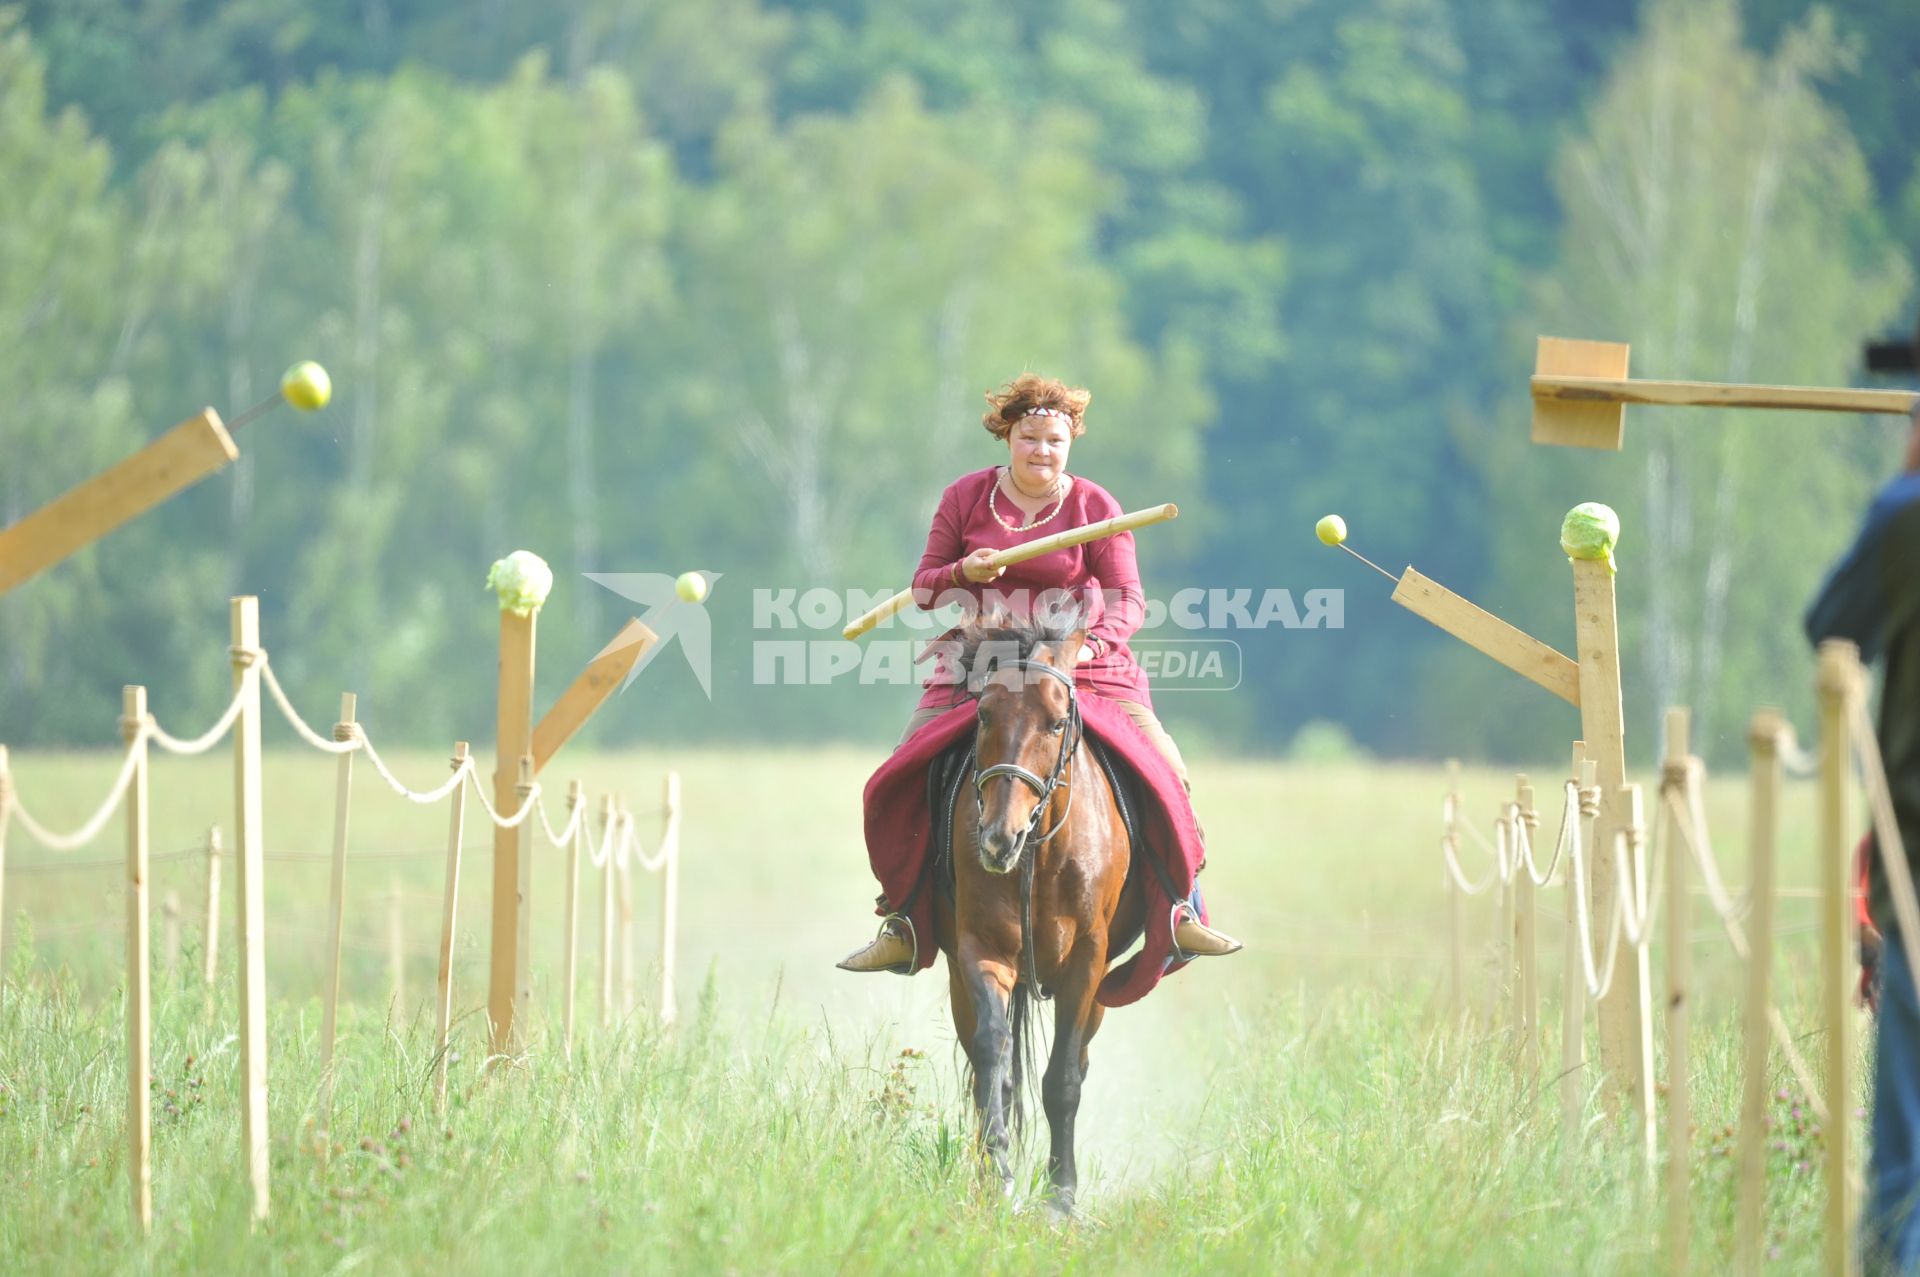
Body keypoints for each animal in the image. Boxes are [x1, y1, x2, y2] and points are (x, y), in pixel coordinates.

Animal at [936, 602, 1144, 1213]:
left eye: (1055, 723)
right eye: (983, 715)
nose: (996, 840)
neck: (1039, 852)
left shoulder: (1087, 963)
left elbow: (1063, 1079)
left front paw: (1062, 1196)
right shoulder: (980, 952)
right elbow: (992, 1063)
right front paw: (998, 1176)